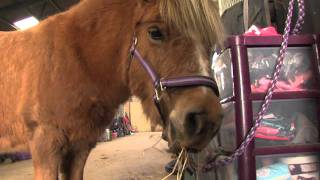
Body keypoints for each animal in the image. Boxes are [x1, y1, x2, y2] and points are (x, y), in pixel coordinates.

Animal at [0, 0, 224, 179]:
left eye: (210, 43)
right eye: (155, 32)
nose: (205, 121)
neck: (75, 57)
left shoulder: (79, 148)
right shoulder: (46, 146)